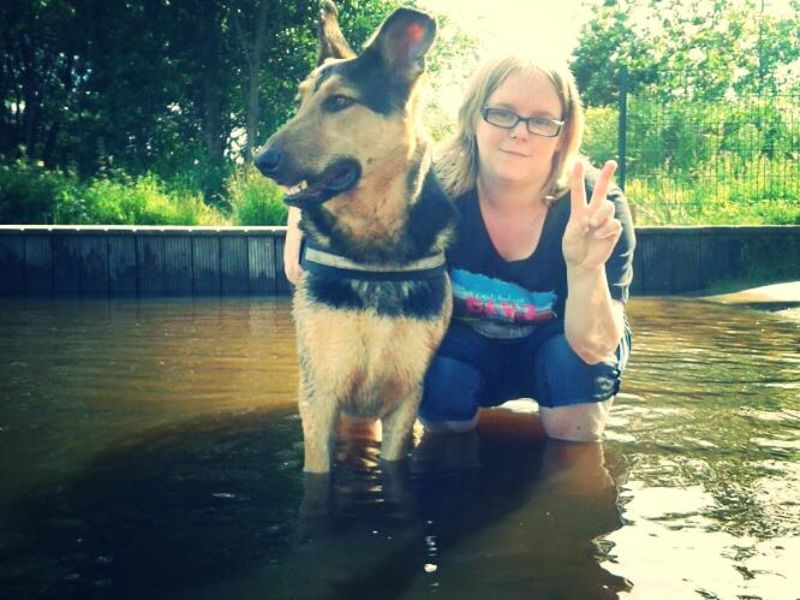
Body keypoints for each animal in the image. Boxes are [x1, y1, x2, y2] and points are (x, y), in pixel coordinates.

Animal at [255, 1, 454, 474]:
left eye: (340, 102)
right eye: (299, 103)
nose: (261, 159)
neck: (373, 248)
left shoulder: (406, 398)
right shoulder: (320, 396)